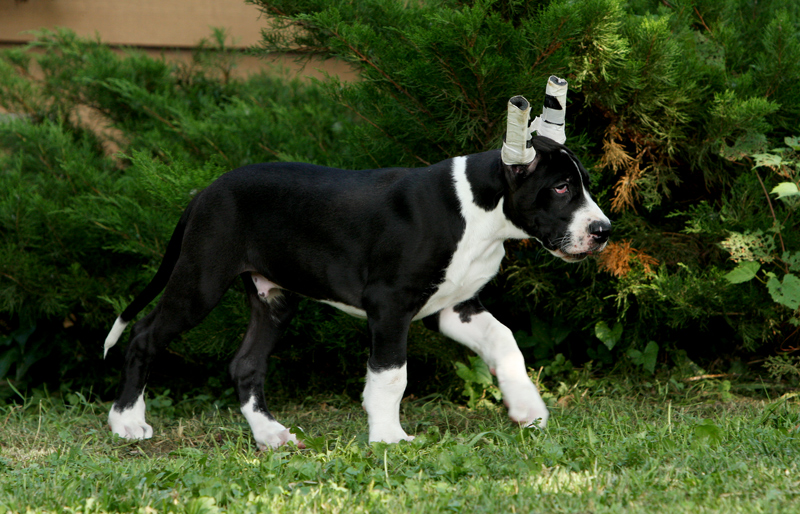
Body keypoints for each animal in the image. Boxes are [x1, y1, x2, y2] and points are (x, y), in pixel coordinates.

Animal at [103, 83, 608, 444]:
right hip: (200, 282)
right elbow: (391, 375)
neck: (479, 209)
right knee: (144, 336)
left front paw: (527, 409)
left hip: (273, 299)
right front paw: (387, 437)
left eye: (581, 183)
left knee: (245, 364)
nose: (604, 230)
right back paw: (126, 421)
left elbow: (505, 342)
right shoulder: (389, 305)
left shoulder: (454, 306)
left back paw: (270, 434)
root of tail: (204, 192)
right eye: (561, 187)